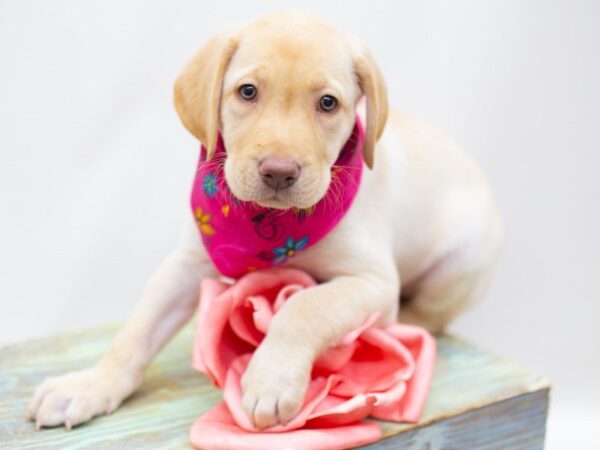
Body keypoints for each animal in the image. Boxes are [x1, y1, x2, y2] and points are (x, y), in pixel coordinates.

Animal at [27, 12, 502, 430]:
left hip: (462, 261)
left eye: (327, 103)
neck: (270, 224)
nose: (279, 172)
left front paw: (270, 379)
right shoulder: (185, 265)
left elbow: (304, 306)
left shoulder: (373, 281)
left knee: (430, 317)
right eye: (248, 92)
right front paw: (89, 385)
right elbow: (135, 332)